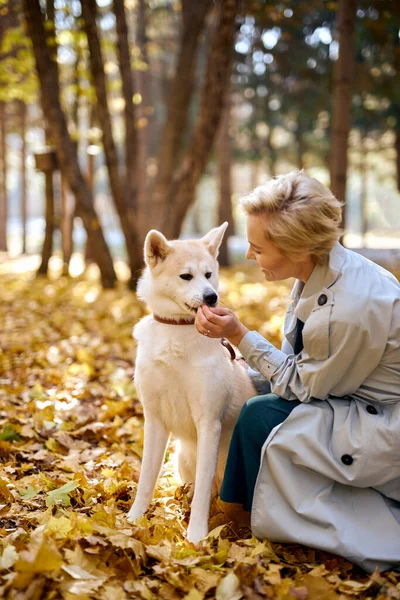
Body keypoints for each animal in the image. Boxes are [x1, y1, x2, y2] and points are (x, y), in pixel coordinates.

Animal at [126, 223, 255, 540]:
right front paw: (134, 520)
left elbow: (202, 497)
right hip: (182, 458)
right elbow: (146, 478)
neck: (177, 330)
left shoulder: (209, 421)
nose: (211, 298)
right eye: (186, 276)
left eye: (208, 274)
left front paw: (196, 537)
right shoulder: (154, 419)